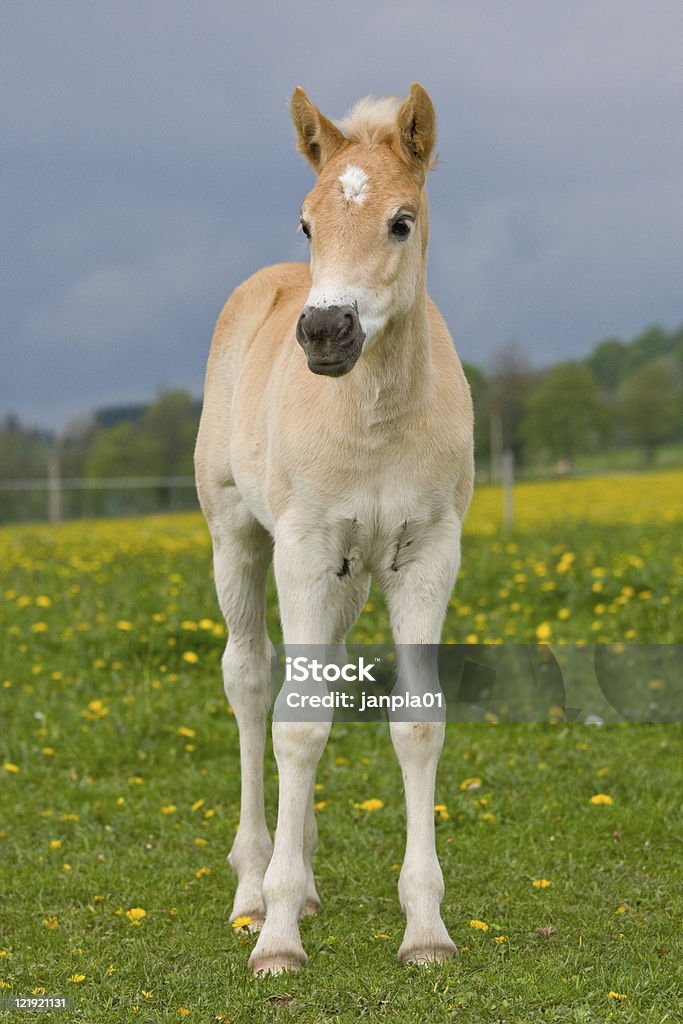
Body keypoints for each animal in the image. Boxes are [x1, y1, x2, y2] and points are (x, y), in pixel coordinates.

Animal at [196, 83, 475, 970]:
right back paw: (255, 886)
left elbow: (415, 721)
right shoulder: (304, 550)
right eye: (307, 224)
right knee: (252, 682)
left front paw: (425, 930)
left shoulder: (427, 553)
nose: (324, 333)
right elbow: (296, 725)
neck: (375, 418)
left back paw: (305, 872)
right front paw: (277, 937)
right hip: (239, 539)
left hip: (349, 575)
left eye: (401, 221)